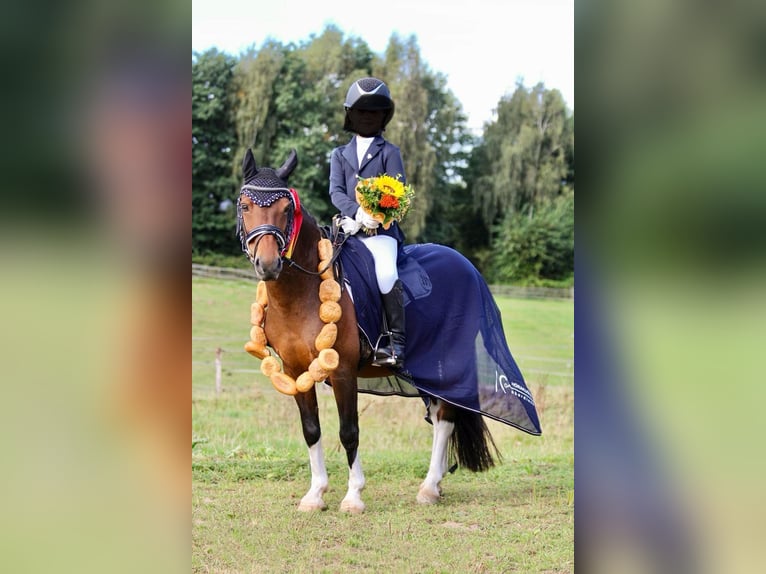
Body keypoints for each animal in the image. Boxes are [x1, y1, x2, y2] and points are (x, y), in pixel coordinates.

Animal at [237, 148, 538, 513]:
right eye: (245, 206)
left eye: (285, 210)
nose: (268, 265)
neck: (300, 295)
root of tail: (465, 264)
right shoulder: (296, 371)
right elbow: (311, 430)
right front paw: (315, 494)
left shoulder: (342, 371)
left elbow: (348, 431)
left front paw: (353, 496)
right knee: (438, 415)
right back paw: (435, 484)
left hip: (447, 364)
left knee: (445, 418)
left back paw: (428, 487)